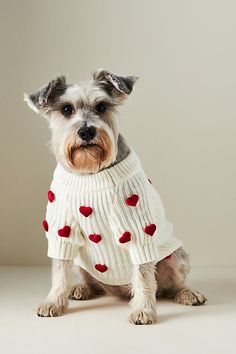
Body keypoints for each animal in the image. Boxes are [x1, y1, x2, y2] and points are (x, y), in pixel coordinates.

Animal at [24, 70, 206, 326]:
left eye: (102, 106)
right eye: (66, 109)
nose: (87, 131)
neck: (90, 173)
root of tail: (120, 291)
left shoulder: (139, 231)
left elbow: (144, 275)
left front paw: (143, 311)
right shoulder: (62, 232)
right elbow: (60, 271)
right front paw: (53, 302)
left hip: (176, 257)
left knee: (169, 287)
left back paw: (187, 293)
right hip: (83, 263)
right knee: (92, 281)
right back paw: (81, 289)